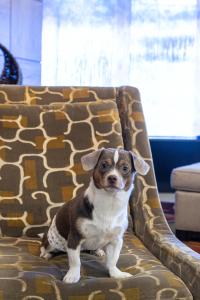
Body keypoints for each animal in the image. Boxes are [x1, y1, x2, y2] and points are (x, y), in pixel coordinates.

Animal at [39, 148, 149, 284]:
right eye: (103, 165)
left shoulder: (116, 241)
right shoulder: (74, 238)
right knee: (45, 247)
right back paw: (46, 254)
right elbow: (75, 262)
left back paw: (98, 251)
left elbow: (113, 260)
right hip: (50, 240)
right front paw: (73, 275)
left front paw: (116, 273)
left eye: (125, 168)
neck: (109, 203)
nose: (112, 177)